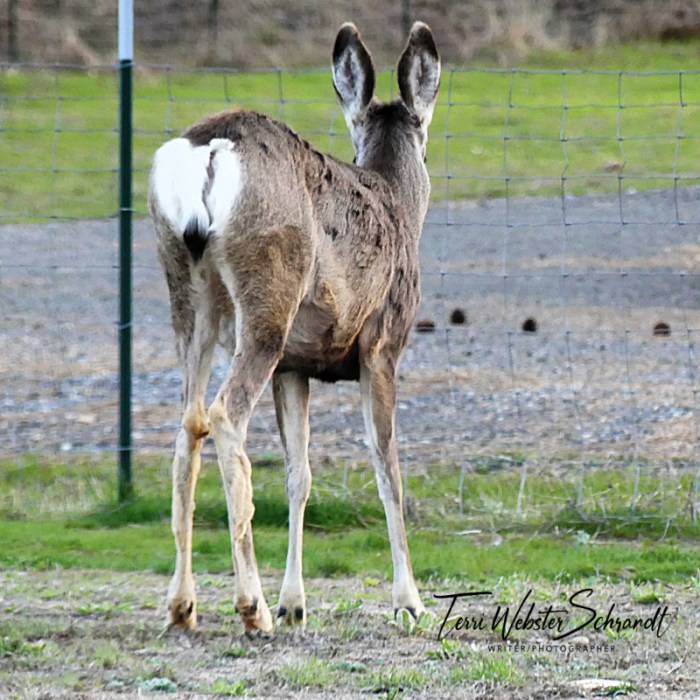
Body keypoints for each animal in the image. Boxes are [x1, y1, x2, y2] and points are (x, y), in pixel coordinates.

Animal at [148, 21, 440, 634]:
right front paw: (408, 599)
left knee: (188, 422)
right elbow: (388, 467)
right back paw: (249, 606)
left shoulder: (295, 366)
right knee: (222, 416)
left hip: (185, 288)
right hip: (268, 297)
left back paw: (183, 605)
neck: (397, 205)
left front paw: (295, 602)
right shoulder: (383, 345)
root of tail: (211, 149)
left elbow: (298, 476)